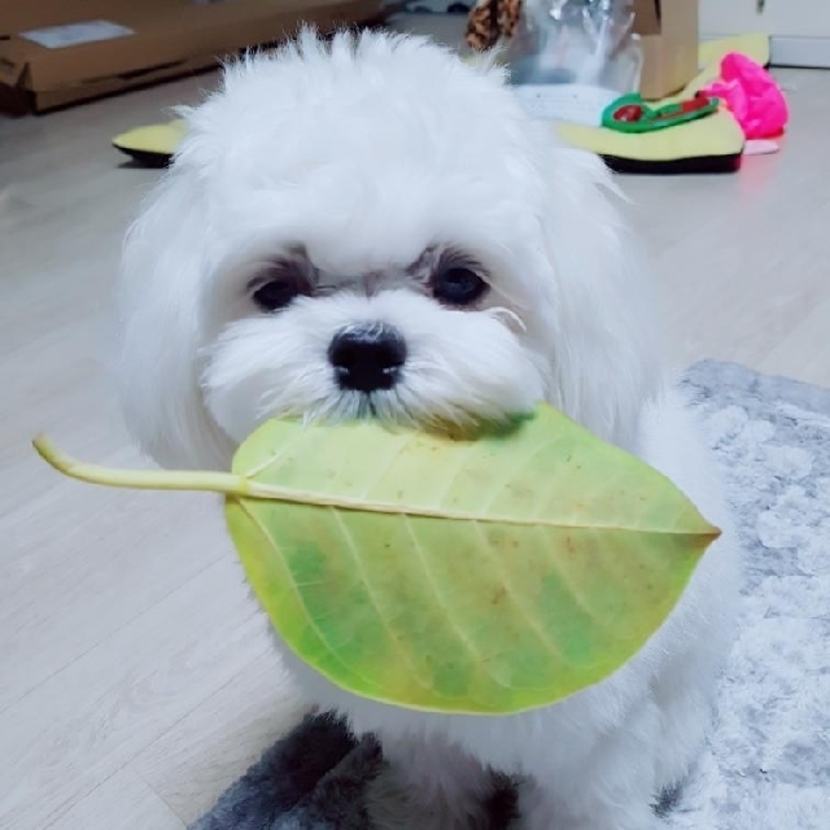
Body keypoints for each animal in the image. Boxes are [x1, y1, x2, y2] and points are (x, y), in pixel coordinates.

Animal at [117, 30, 739, 830]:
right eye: (276, 289)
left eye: (461, 281)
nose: (364, 350)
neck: (427, 537)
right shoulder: (414, 714)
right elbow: (436, 772)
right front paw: (420, 810)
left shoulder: (593, 730)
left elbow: (586, 798)